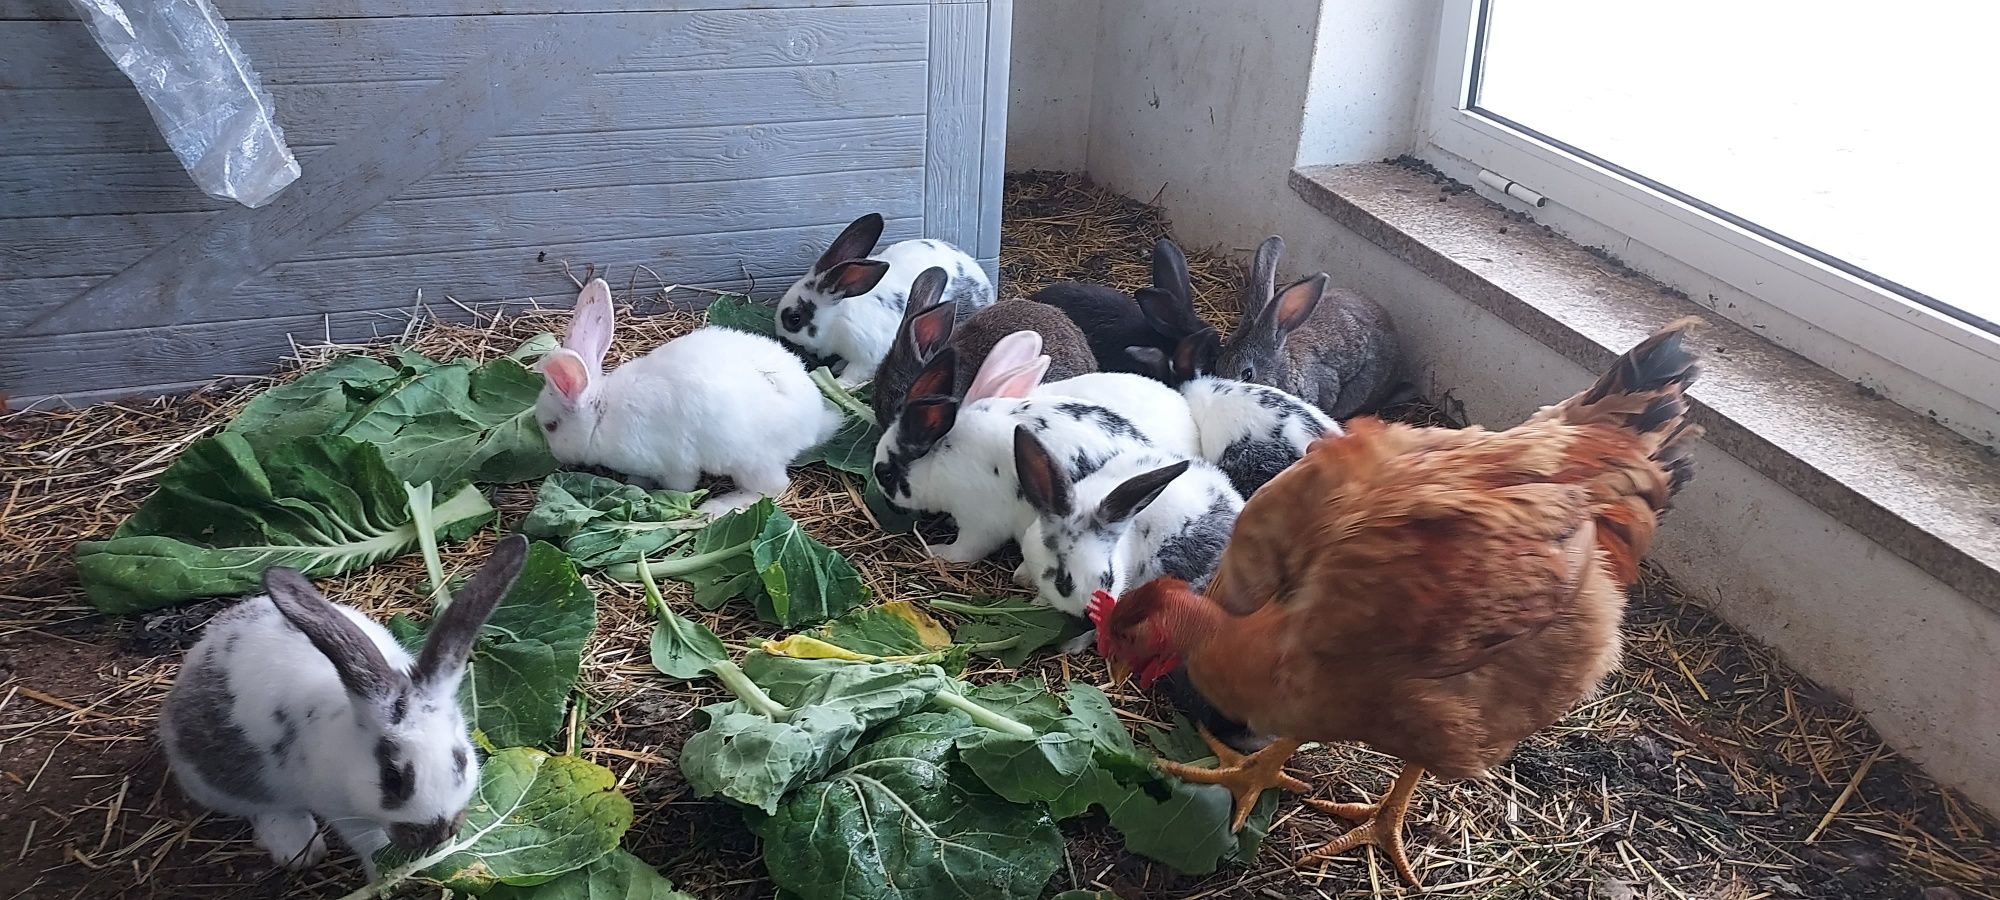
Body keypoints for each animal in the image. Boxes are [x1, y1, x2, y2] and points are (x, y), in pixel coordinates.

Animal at [159, 536, 528, 880]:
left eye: (461, 761)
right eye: (392, 778)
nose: (435, 833)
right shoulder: (340, 810)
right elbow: (369, 842)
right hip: (220, 778)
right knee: (262, 806)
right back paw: (296, 848)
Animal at [536, 278, 840, 512]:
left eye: (551, 426)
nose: (557, 456)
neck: (602, 413)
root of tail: (814, 421)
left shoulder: (675, 466)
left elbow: (680, 485)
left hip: (752, 461)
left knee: (771, 488)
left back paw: (717, 507)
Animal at [772, 217, 992, 390]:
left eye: (794, 318)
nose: (781, 339)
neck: (836, 320)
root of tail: (987, 288)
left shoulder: (868, 356)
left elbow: (854, 372)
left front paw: (840, 383)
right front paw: (837, 366)